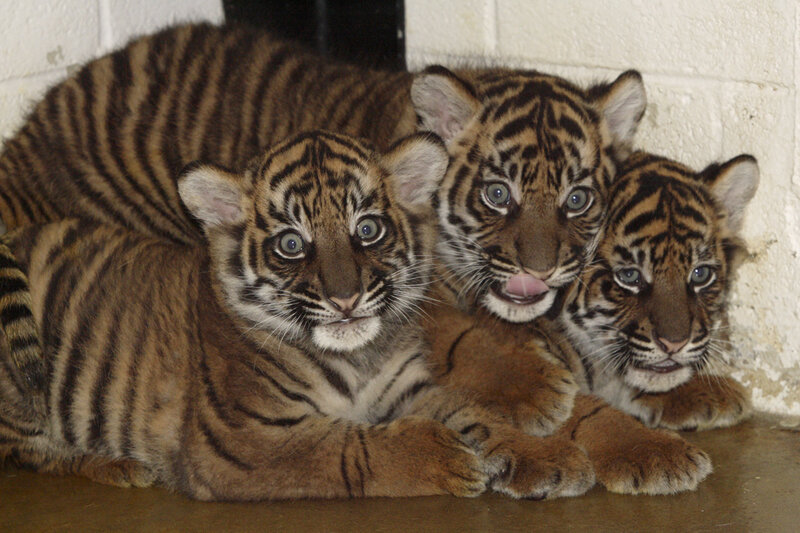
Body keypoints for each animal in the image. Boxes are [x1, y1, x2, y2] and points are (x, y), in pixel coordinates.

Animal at [0, 23, 648, 433]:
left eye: (578, 198)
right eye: (497, 195)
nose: (542, 269)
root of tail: (24, 141)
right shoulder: (408, 289)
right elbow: (463, 335)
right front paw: (535, 386)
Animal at [0, 130, 597, 501]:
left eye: (367, 230)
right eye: (291, 244)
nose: (345, 299)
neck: (357, 355)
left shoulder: (405, 387)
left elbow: (472, 411)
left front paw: (548, 456)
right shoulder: (243, 441)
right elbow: (347, 448)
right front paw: (442, 456)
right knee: (28, 453)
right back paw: (116, 465)